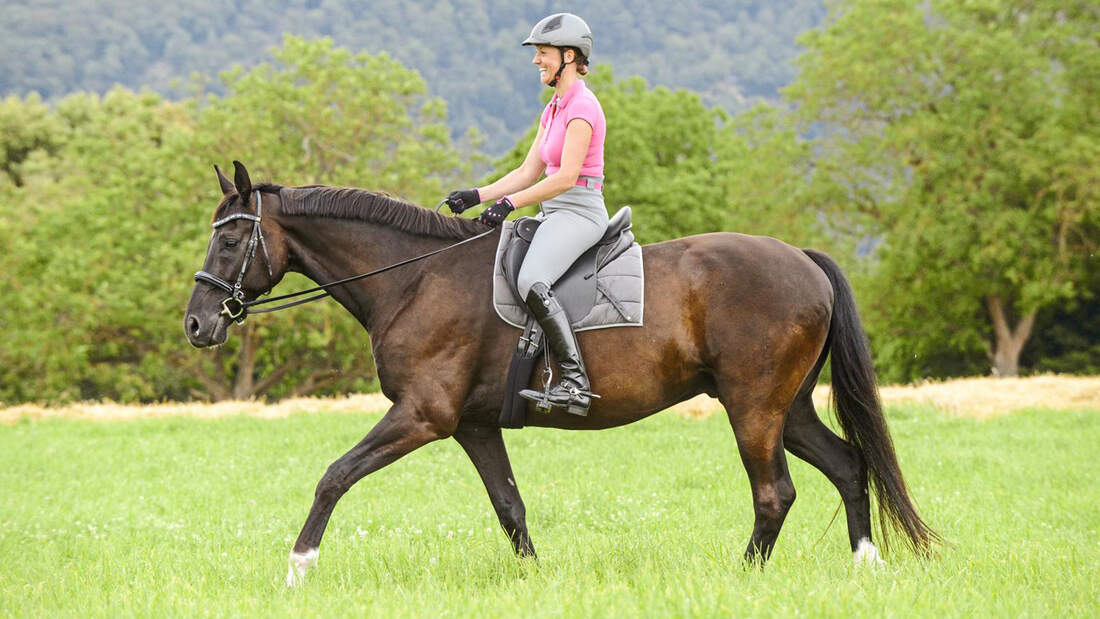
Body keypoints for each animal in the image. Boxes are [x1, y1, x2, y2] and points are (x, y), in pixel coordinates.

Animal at [184, 162, 939, 587]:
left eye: (231, 238)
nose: (196, 324)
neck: (414, 278)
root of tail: (803, 260)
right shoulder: (473, 425)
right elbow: (510, 506)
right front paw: (536, 580)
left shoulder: (421, 416)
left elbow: (334, 476)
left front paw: (298, 567)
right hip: (790, 407)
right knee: (847, 466)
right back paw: (865, 564)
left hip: (753, 407)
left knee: (774, 492)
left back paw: (746, 578)